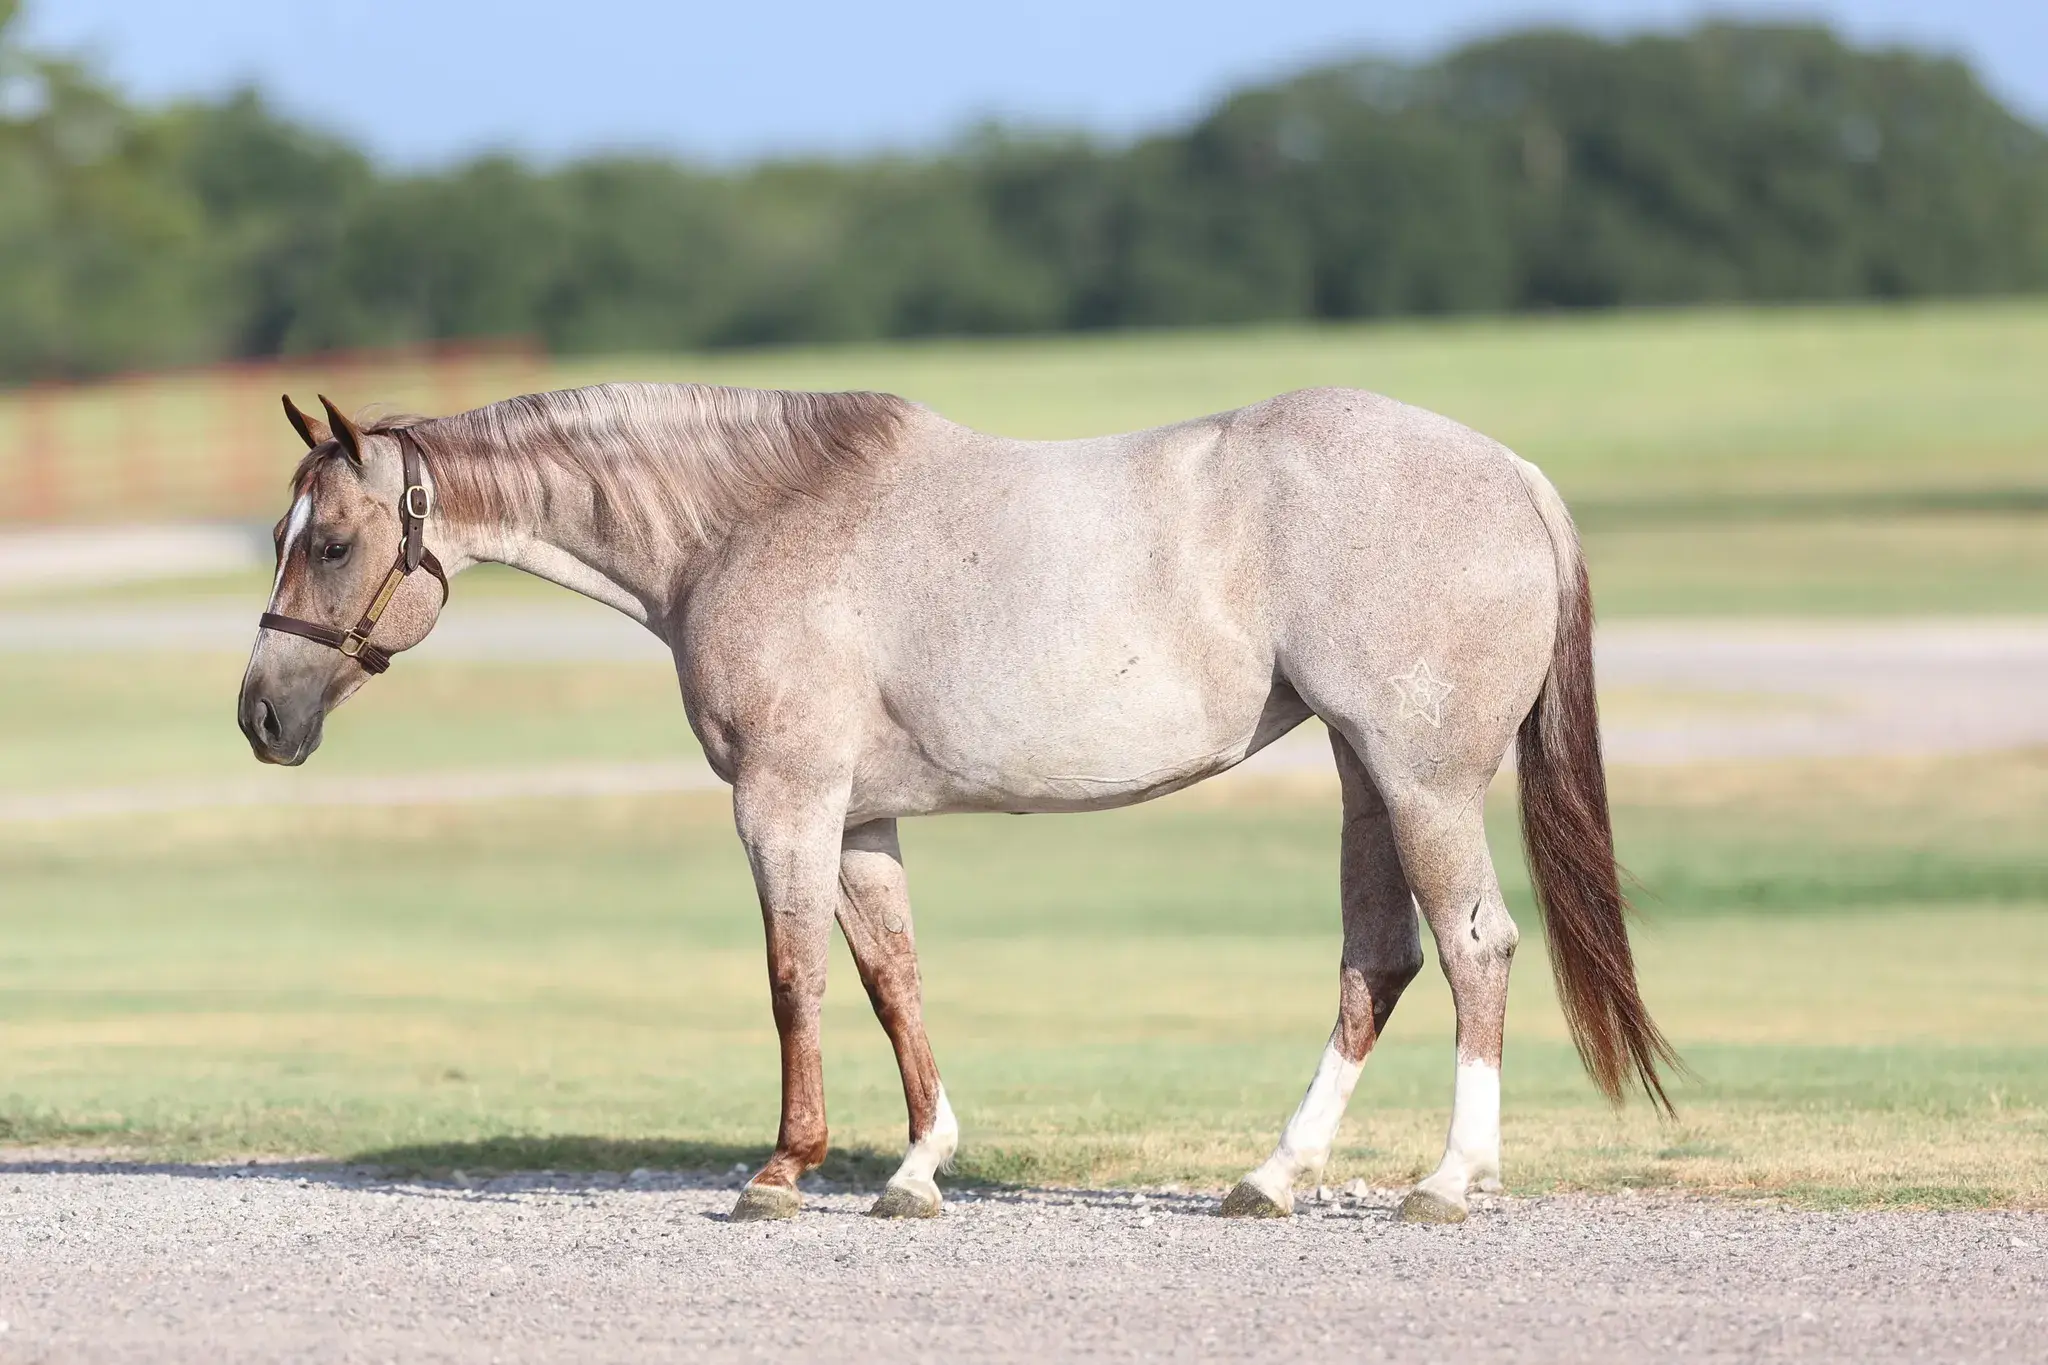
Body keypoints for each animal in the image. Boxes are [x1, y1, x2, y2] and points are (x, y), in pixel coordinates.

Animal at [237, 383, 1676, 1223]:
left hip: (1418, 775)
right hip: (1364, 775)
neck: (752, 519)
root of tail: (1515, 476)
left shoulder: (785, 801)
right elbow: (893, 982)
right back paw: (1272, 1177)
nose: (261, 714)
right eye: (285, 535)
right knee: (1378, 962)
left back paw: (1448, 1180)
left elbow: (795, 978)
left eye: (333, 541)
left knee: (1476, 944)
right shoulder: (862, 820)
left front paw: (784, 1170)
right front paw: (918, 1169)